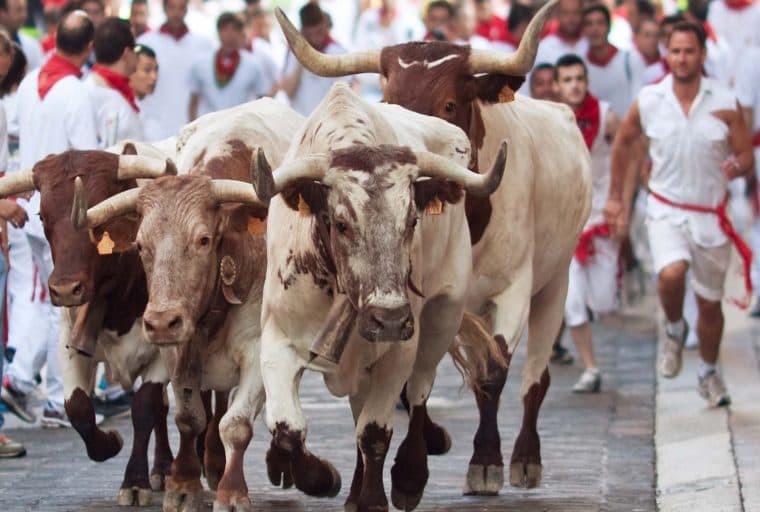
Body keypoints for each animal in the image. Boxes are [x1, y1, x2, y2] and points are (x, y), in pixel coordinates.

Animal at [0, 141, 177, 506]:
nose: (65, 288)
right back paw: (164, 467)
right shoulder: (70, 342)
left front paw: (135, 482)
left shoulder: (163, 348)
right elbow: (78, 408)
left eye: (102, 219)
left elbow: (144, 406)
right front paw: (109, 442)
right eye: (43, 216)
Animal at [74, 98, 304, 512]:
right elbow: (188, 416)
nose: (161, 322)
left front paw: (231, 492)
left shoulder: (258, 350)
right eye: (140, 245)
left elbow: (237, 424)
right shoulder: (175, 352)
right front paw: (182, 485)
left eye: (202, 240)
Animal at [239, 83, 507, 512]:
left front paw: (373, 499)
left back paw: (409, 477)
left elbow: (375, 431)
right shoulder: (277, 342)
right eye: (342, 224)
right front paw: (318, 478)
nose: (389, 318)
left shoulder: (398, 351)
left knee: (418, 393)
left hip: (442, 317)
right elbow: (288, 429)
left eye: (412, 220)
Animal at [275, 0, 593, 496]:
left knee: (534, 377)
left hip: (554, 284)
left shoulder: (513, 290)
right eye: (387, 101)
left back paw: (525, 455)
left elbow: (493, 372)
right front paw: (429, 444)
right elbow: (410, 384)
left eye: (448, 104)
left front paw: (485, 462)